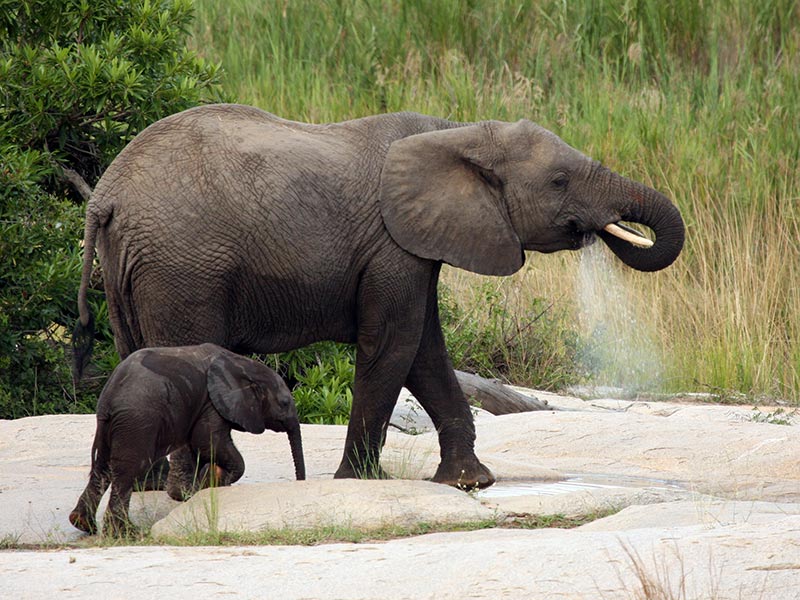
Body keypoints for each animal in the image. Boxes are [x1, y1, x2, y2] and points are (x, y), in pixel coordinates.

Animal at [70, 342, 306, 536]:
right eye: (285, 403)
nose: (300, 484)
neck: (243, 364)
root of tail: (110, 395)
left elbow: (199, 447)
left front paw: (200, 487)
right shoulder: (211, 402)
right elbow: (208, 442)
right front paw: (213, 480)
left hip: (110, 424)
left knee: (102, 466)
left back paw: (83, 524)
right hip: (137, 420)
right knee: (127, 470)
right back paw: (126, 533)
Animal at [73, 102, 680, 488]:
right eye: (559, 182)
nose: (600, 230)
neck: (458, 131)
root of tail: (105, 197)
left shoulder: (415, 244)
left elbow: (426, 350)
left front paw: (471, 483)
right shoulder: (392, 243)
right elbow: (395, 343)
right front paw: (360, 481)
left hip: (134, 267)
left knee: (134, 355)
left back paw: (149, 487)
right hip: (183, 268)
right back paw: (194, 489)